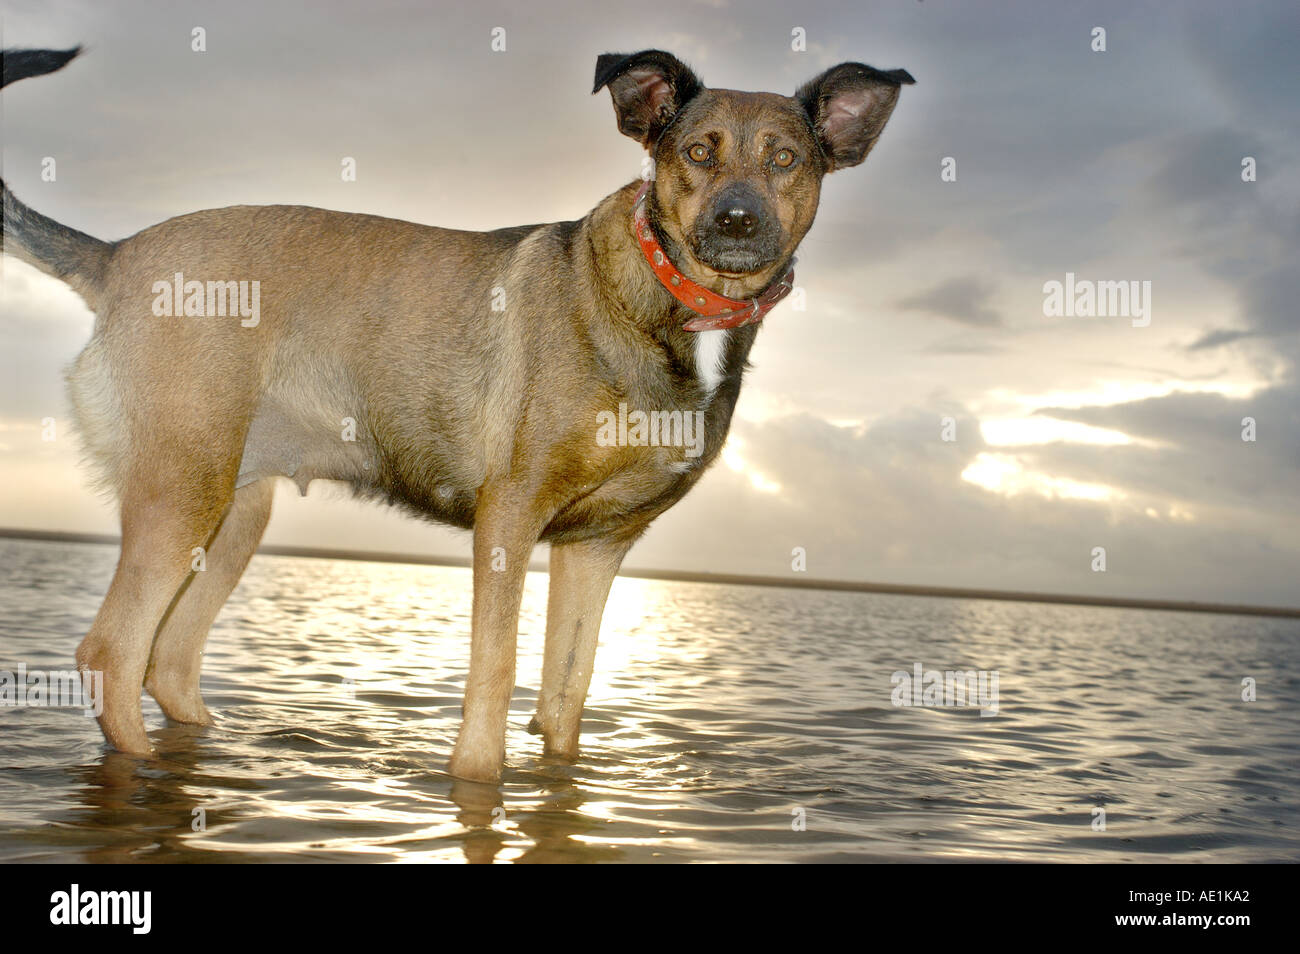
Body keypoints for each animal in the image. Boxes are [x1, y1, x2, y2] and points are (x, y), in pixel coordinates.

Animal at [2, 46, 915, 785]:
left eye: (787, 159)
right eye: (697, 151)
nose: (737, 221)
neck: (676, 307)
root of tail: (116, 256)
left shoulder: (599, 545)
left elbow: (568, 689)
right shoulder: (509, 516)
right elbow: (495, 671)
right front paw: (479, 786)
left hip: (234, 514)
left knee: (169, 660)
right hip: (183, 490)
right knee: (112, 652)